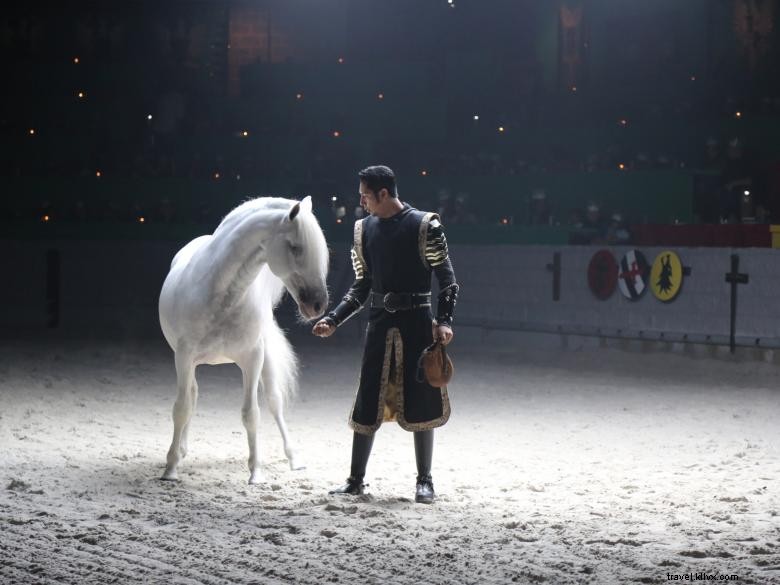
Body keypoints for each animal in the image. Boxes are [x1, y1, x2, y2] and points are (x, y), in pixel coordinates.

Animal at [158, 196, 330, 484]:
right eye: (296, 248)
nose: (318, 305)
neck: (221, 295)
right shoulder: (183, 357)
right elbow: (181, 408)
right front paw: (170, 468)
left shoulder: (252, 358)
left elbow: (252, 414)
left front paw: (256, 472)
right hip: (190, 365)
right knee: (191, 397)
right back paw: (180, 451)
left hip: (266, 361)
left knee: (274, 402)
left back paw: (294, 459)